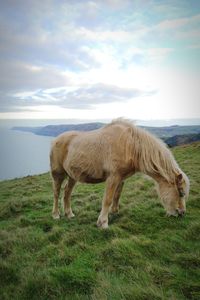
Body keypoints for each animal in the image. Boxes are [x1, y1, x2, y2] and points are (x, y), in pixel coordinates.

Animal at [49, 118, 189, 229]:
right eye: (181, 193)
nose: (181, 213)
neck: (130, 145)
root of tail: (56, 140)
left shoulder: (121, 178)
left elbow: (117, 196)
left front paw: (114, 212)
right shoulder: (113, 177)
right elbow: (108, 199)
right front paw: (103, 223)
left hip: (73, 175)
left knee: (67, 192)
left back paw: (69, 214)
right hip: (58, 174)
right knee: (56, 193)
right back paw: (56, 215)